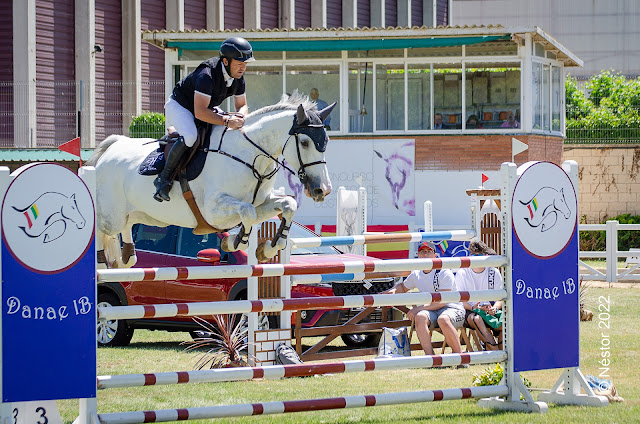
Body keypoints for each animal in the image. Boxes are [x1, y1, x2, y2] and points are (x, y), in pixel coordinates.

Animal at [88, 93, 338, 268]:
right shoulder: (213, 210)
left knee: (127, 232)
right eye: (305, 142)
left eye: (326, 141)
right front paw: (234, 242)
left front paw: (267, 248)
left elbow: (288, 204)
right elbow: (247, 212)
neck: (251, 156)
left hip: (140, 215)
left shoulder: (262, 203)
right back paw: (102, 261)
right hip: (111, 216)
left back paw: (126, 256)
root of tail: (113, 146)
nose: (322, 190)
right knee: (101, 230)